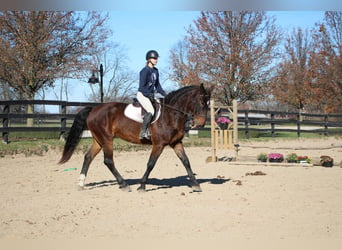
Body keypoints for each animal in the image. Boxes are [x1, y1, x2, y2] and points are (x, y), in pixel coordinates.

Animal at [58, 83, 211, 192]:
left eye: (208, 104)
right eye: (201, 102)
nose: (201, 123)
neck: (171, 114)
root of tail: (93, 109)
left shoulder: (176, 143)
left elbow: (186, 161)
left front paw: (196, 184)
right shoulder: (159, 144)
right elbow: (151, 163)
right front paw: (142, 186)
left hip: (98, 140)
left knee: (88, 157)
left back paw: (81, 184)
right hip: (106, 140)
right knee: (108, 161)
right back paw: (124, 184)